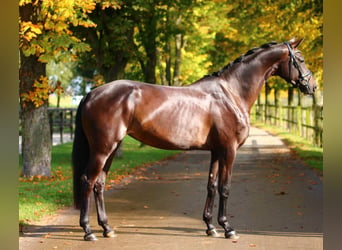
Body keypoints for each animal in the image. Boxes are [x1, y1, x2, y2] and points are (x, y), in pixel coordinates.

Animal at [71, 38, 316, 241]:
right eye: (301, 59)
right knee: (87, 181)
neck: (231, 93)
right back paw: (88, 231)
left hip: (111, 148)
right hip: (102, 149)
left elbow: (212, 185)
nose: (312, 86)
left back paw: (107, 228)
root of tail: (91, 94)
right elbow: (225, 187)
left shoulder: (217, 151)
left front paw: (211, 227)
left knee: (99, 184)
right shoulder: (229, 150)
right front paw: (228, 228)